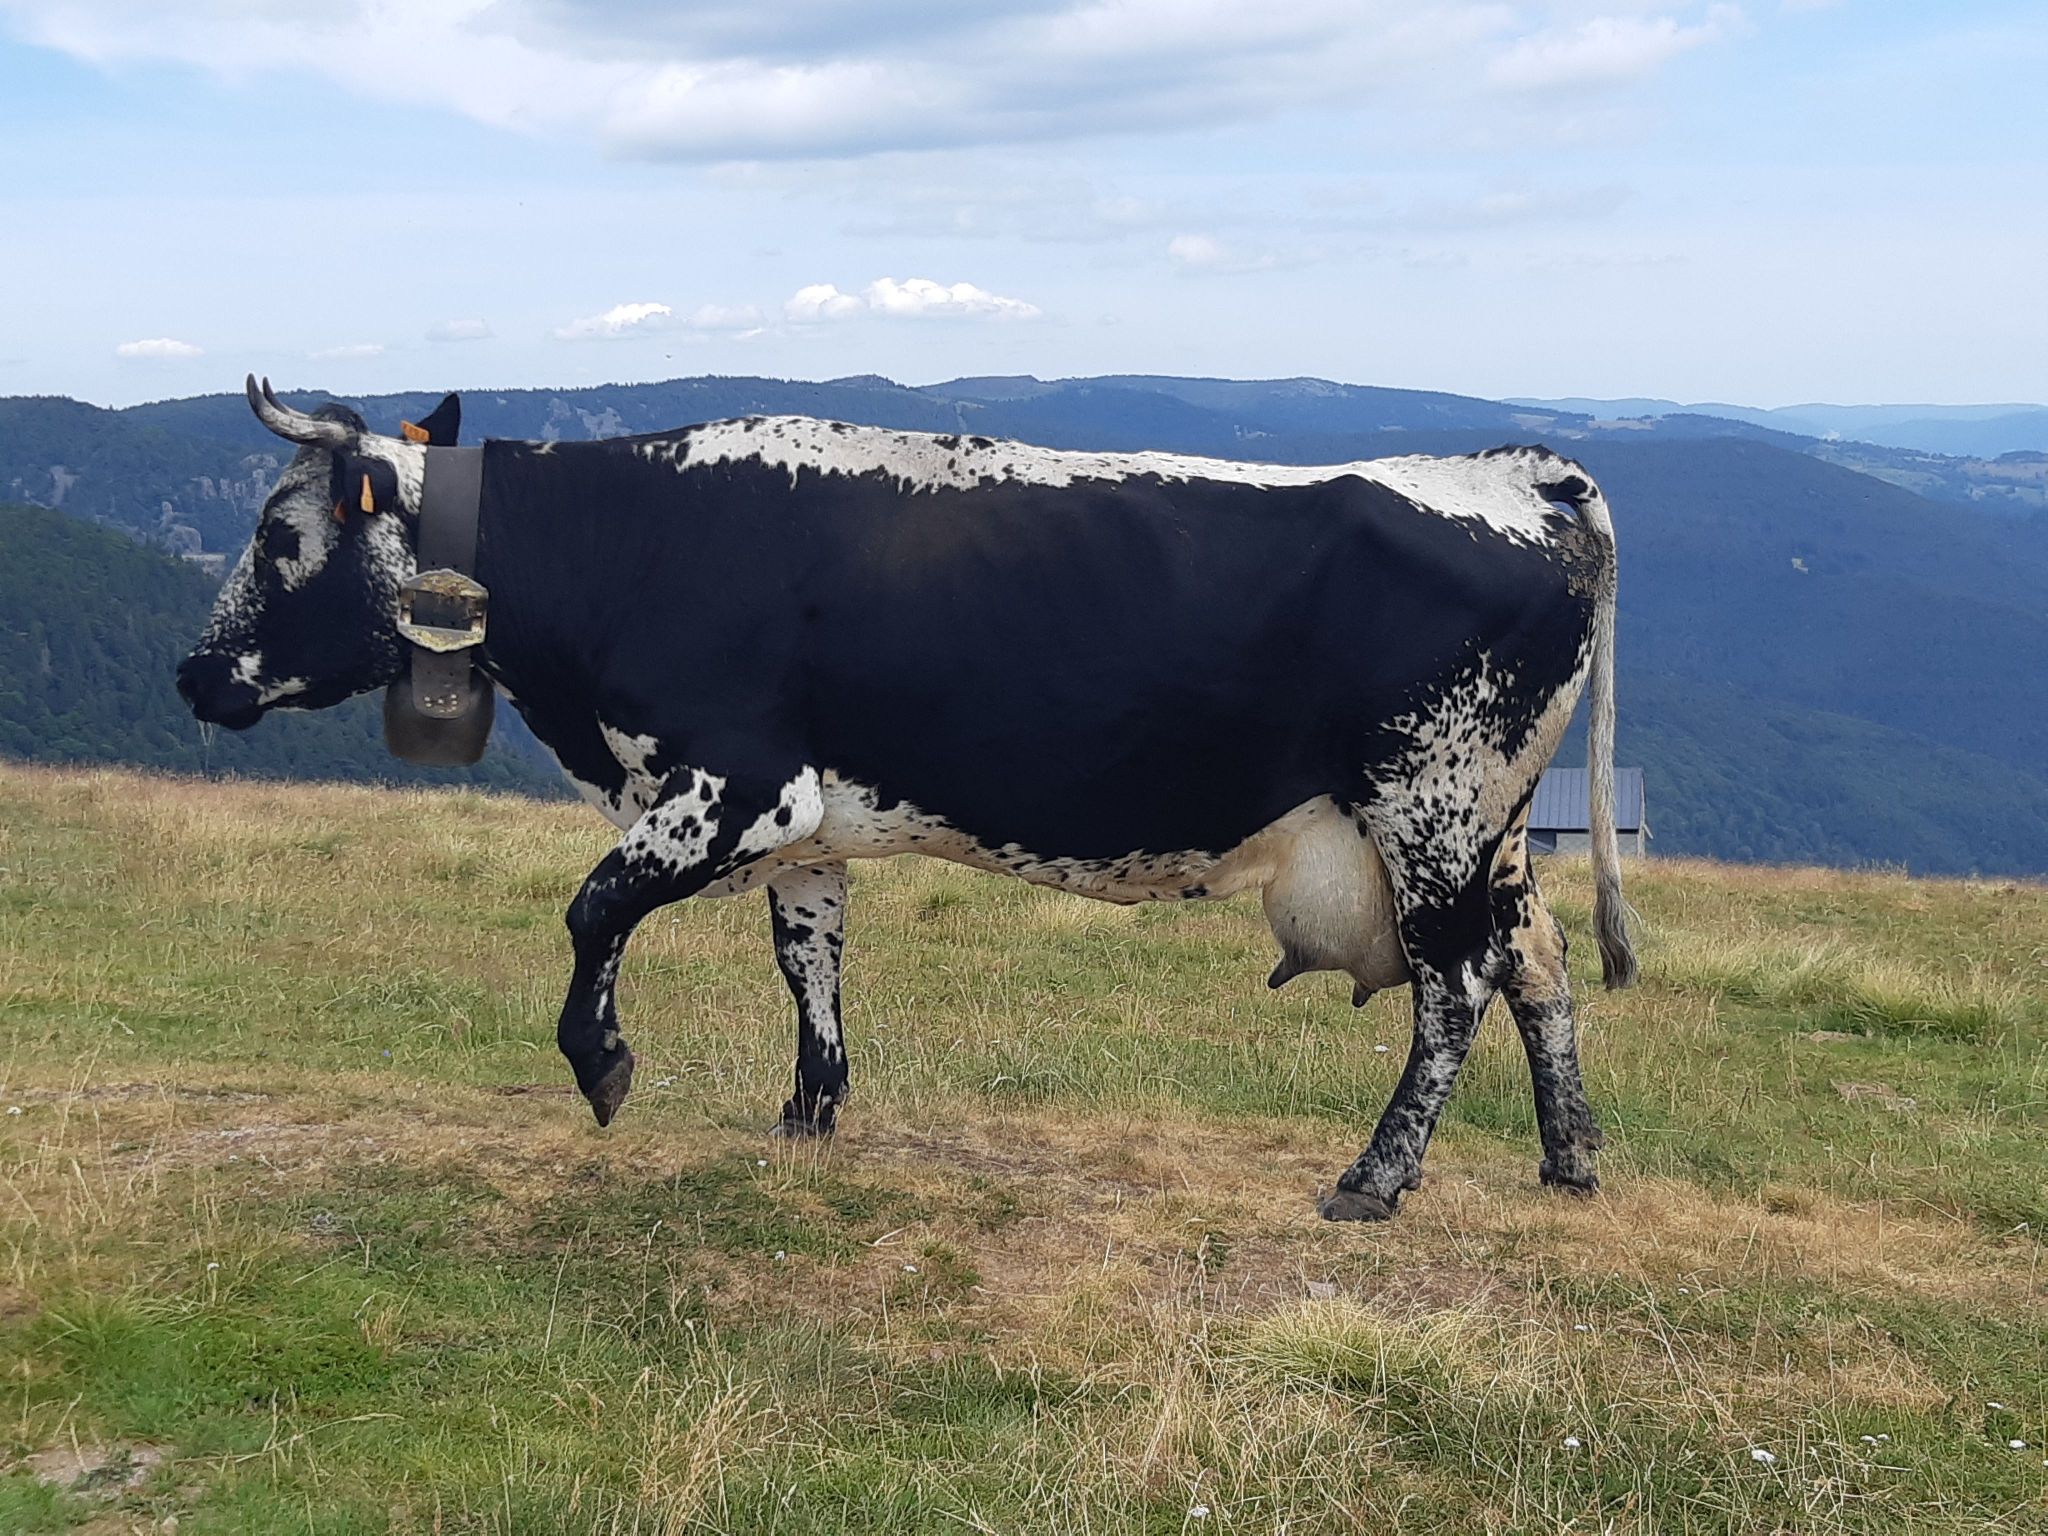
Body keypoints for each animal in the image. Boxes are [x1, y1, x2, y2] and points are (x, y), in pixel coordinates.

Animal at [178, 376, 1636, 1222]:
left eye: (275, 533)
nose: (194, 673)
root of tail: (1517, 467)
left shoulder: (739, 781)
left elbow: (593, 907)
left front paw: (601, 1066)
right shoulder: (805, 821)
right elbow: (807, 957)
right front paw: (810, 1109)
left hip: (1428, 802)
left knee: (1456, 984)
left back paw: (1375, 1179)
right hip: (1489, 825)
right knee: (1539, 962)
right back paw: (1568, 1160)